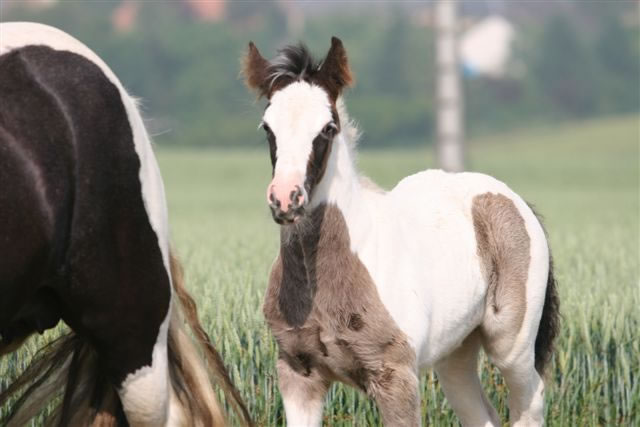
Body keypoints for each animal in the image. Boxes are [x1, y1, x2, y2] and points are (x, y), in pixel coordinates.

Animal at [245, 38, 560, 426]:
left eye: (328, 128)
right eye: (267, 127)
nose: (285, 198)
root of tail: (515, 200)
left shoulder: (395, 376)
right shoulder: (298, 375)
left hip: (511, 346)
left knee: (530, 399)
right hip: (455, 354)